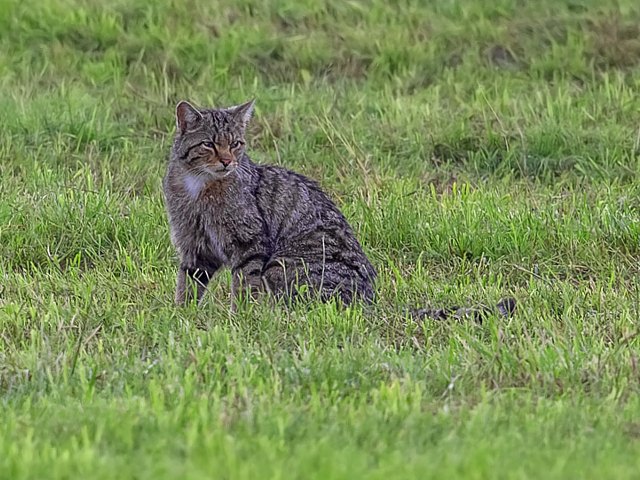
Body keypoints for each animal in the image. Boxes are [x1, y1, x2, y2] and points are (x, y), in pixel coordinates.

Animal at [164, 99, 516, 320]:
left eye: (236, 144)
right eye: (210, 144)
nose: (228, 161)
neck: (199, 188)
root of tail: (368, 301)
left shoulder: (249, 244)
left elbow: (245, 286)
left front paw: (239, 319)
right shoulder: (195, 247)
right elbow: (187, 285)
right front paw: (181, 316)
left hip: (284, 266)